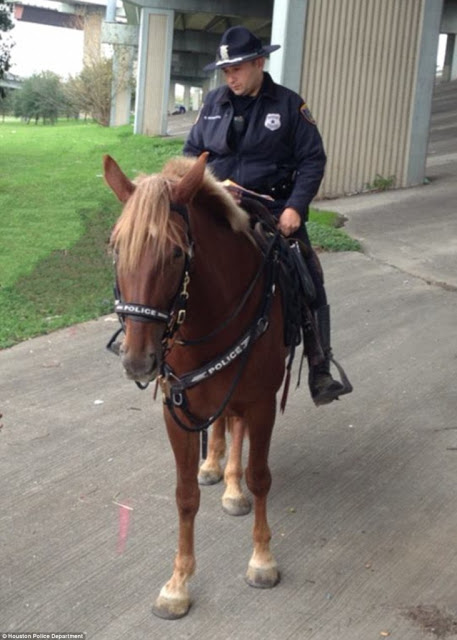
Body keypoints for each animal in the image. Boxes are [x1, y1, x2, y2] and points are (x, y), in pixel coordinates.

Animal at [105, 152, 286, 616]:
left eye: (174, 252)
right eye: (116, 248)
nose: (137, 359)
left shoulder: (261, 402)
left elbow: (262, 477)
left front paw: (262, 559)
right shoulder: (177, 408)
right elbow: (185, 495)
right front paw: (178, 583)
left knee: (236, 431)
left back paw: (234, 485)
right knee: (222, 426)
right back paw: (215, 467)